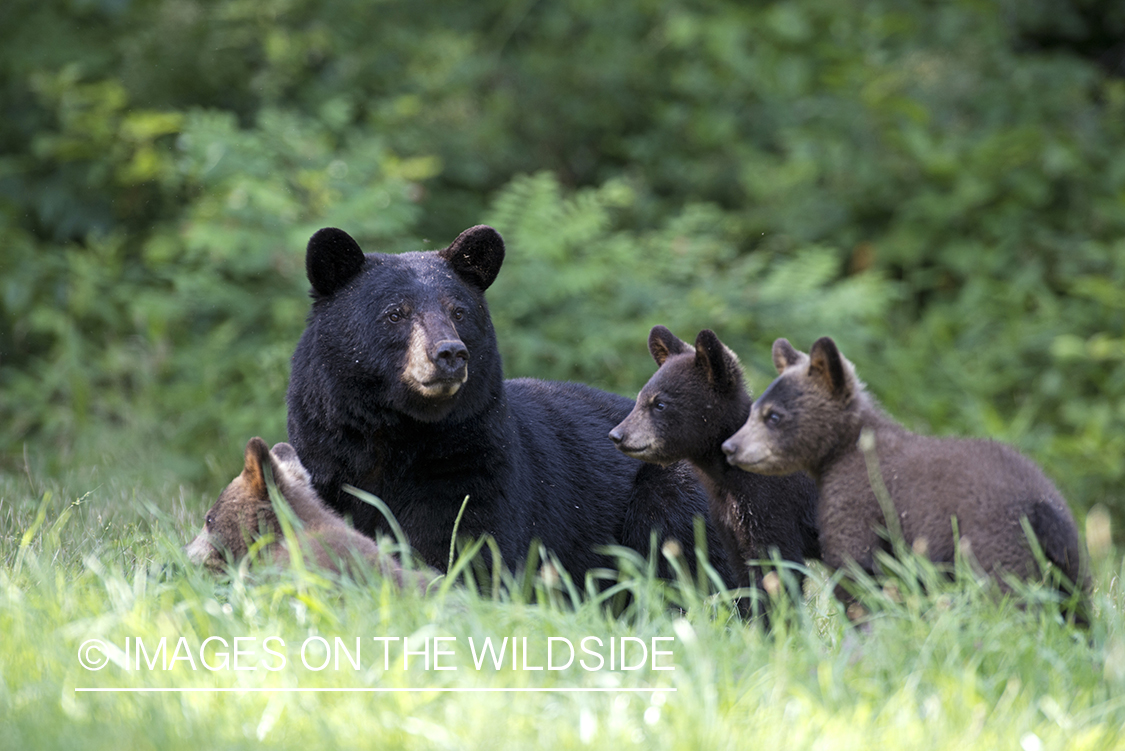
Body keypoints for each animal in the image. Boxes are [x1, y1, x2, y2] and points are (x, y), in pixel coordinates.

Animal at [285, 225, 733, 584]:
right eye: (395, 313)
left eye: (459, 311)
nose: (449, 353)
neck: (398, 435)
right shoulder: (327, 457)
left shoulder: (471, 461)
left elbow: (466, 545)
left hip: (677, 487)